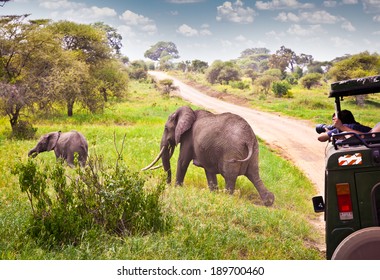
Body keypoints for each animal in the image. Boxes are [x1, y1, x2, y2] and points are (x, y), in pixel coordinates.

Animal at [142, 106, 274, 207]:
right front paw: (213, 194)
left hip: (232, 151)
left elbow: (183, 161)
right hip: (255, 150)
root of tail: (249, 138)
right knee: (254, 175)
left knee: (230, 176)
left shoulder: (188, 138)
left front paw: (177, 189)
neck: (190, 112)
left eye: (166, 128)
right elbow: (209, 171)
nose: (167, 185)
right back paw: (269, 201)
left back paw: (227, 199)